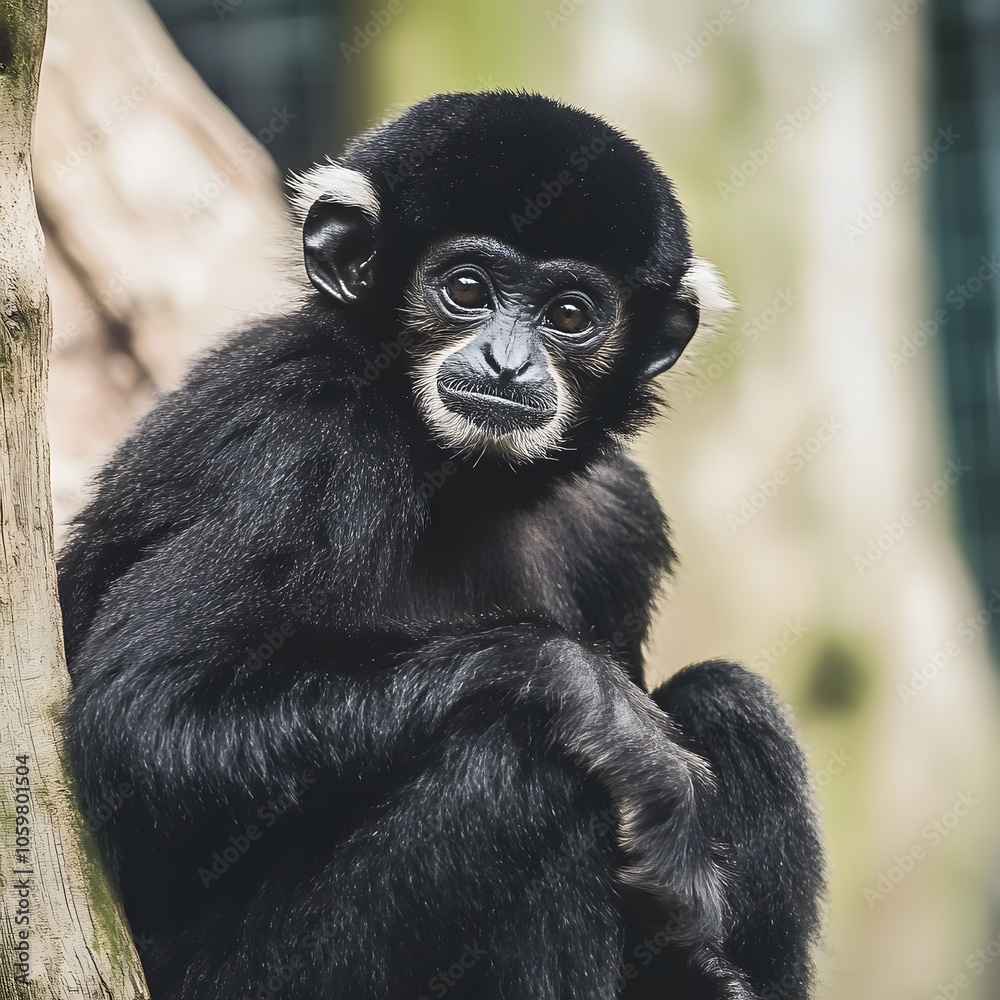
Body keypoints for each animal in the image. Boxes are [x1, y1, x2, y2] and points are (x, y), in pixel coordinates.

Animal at [59, 91, 823, 1000]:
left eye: (570, 315)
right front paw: (594, 703)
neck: (455, 477)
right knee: (518, 773)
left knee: (729, 698)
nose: (507, 361)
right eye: (466, 289)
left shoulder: (619, 511)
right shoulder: (297, 434)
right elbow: (138, 730)